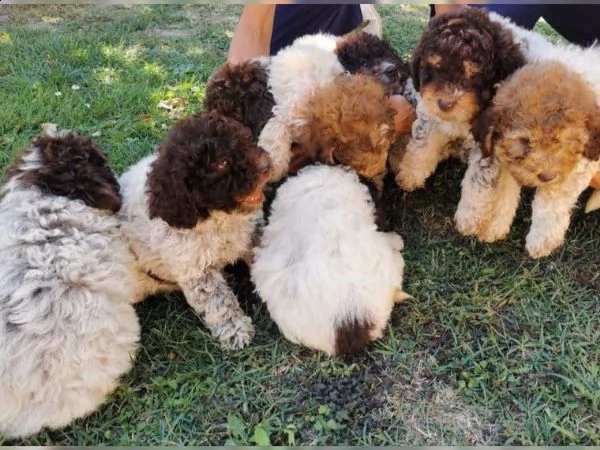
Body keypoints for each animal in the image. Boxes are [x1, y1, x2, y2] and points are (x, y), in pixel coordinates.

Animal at [394, 6, 536, 191]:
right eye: (436, 67)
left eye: (474, 74)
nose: (445, 104)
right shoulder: (430, 109)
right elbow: (423, 142)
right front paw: (410, 174)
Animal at [462, 60, 600, 256]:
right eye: (523, 141)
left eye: (562, 139)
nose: (547, 176)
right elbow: (504, 188)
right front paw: (494, 224)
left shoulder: (579, 164)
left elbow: (552, 198)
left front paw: (542, 240)